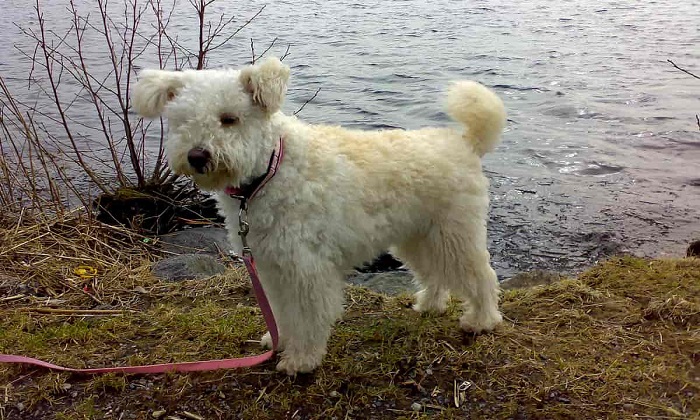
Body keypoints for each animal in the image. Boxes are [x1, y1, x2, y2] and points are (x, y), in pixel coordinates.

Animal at [133, 55, 504, 374]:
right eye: (182, 121)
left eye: (229, 119)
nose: (197, 156)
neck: (271, 170)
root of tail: (465, 143)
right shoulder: (271, 265)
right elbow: (281, 313)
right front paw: (278, 341)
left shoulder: (305, 267)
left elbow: (308, 318)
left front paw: (302, 359)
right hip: (418, 236)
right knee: (435, 273)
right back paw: (430, 304)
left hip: (455, 234)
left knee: (481, 276)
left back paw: (482, 320)